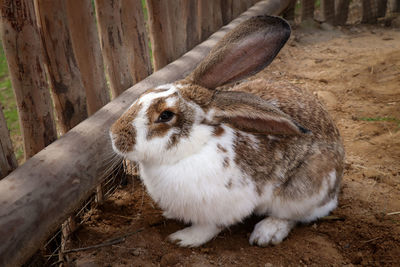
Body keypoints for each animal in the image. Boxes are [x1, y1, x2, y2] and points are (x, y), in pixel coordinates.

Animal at [108, 15, 344, 248]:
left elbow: (209, 227)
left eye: (165, 115)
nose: (114, 136)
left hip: (301, 192)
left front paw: (183, 239)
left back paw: (266, 233)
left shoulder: (222, 206)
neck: (194, 147)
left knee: (296, 215)